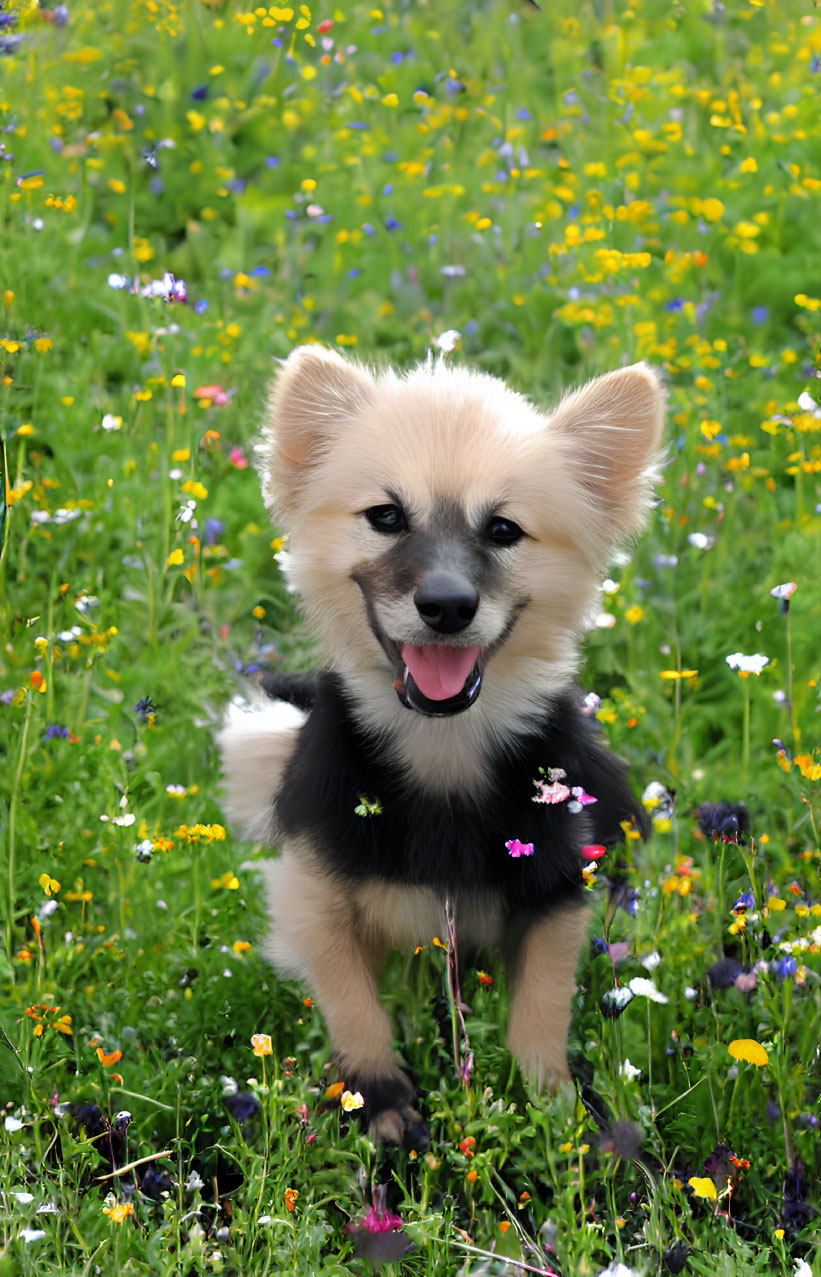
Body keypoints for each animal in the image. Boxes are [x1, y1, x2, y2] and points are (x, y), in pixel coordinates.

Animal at [219, 347, 669, 1149]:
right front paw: (376, 1096)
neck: (444, 746)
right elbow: (352, 1002)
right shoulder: (309, 893)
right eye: (386, 517)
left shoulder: (557, 892)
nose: (448, 606)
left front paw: (553, 1111)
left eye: (504, 529)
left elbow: (541, 1013)